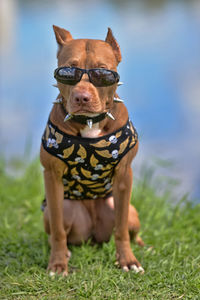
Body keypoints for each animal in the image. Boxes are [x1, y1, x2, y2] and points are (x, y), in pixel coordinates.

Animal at [40, 24, 144, 276]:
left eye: (102, 73)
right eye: (67, 72)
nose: (82, 97)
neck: (89, 123)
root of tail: (93, 238)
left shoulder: (124, 176)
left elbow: (121, 228)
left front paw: (127, 260)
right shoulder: (52, 176)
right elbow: (57, 230)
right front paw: (58, 263)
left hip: (129, 211)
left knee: (127, 227)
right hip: (63, 209)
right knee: (58, 228)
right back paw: (66, 252)